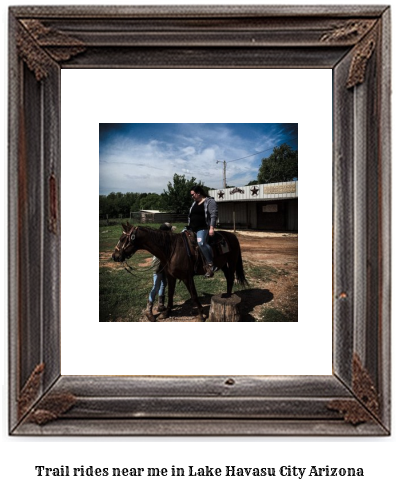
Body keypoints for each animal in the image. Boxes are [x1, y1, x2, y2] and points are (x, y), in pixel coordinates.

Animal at [112, 223, 248, 322]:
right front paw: (166, 312)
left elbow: (194, 295)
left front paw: (201, 315)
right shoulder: (171, 277)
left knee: (231, 278)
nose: (114, 256)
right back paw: (227, 294)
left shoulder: (187, 277)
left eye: (122, 239)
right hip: (224, 265)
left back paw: (228, 295)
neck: (171, 249)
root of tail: (232, 236)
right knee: (229, 278)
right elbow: (170, 294)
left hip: (232, 262)